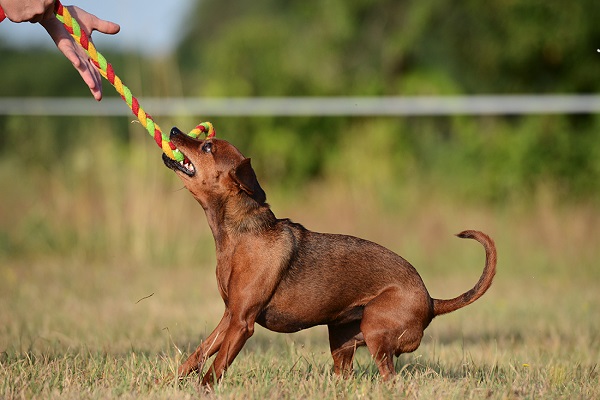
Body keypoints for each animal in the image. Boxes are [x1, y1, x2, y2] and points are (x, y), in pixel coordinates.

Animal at [162, 126, 494, 386]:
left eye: (207, 146)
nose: (174, 130)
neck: (239, 233)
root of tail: (431, 300)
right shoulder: (229, 317)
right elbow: (198, 353)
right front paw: (169, 382)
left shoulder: (242, 323)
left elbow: (216, 366)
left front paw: (202, 390)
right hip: (341, 339)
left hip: (374, 330)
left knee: (390, 378)